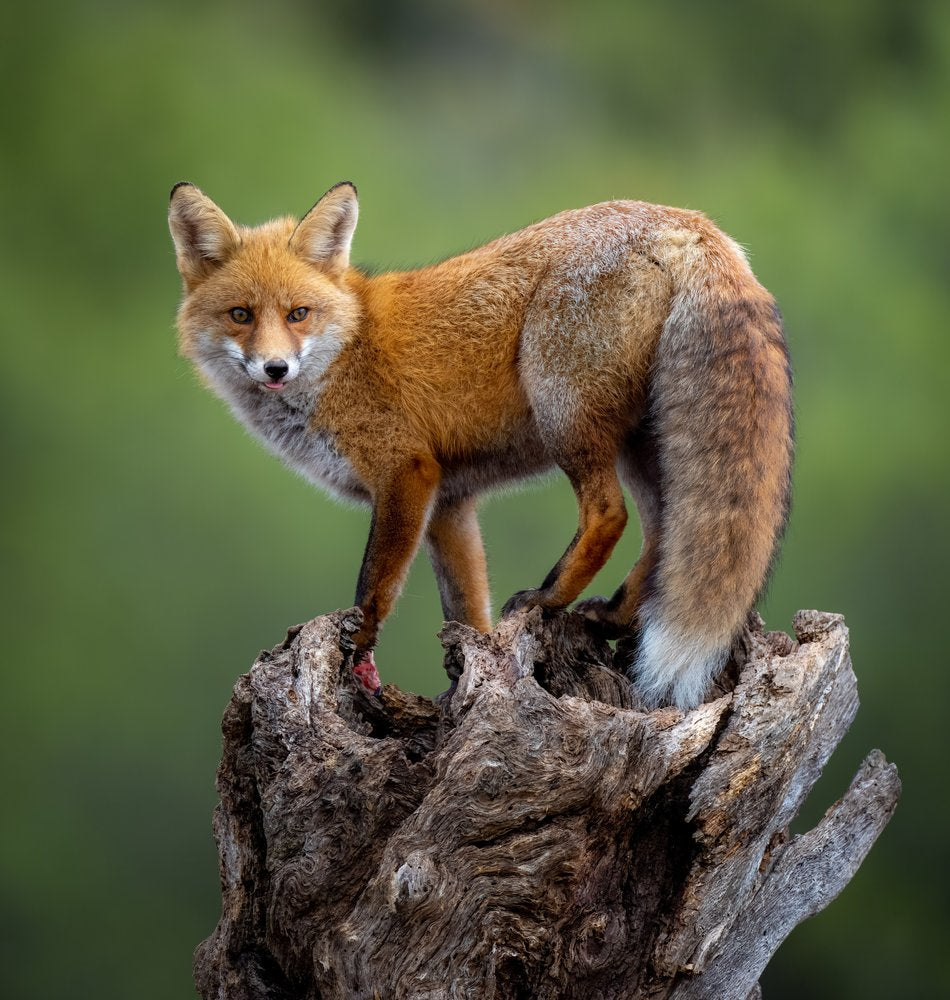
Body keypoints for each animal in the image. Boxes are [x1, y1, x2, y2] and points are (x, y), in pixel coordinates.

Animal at [168, 180, 793, 709]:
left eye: (298, 314)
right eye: (240, 315)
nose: (275, 368)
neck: (346, 349)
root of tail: (686, 221)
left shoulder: (406, 472)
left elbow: (372, 587)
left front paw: (358, 656)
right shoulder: (449, 504)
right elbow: (467, 613)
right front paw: (465, 681)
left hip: (565, 412)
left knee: (609, 515)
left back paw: (548, 599)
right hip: (642, 439)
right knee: (663, 531)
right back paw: (616, 616)